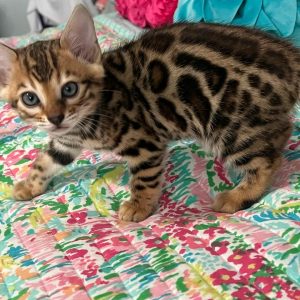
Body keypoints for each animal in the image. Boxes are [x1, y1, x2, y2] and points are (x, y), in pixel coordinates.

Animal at [0, 4, 298, 220]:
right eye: (30, 98)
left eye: (69, 89)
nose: (56, 118)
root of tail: (289, 58)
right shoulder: (65, 140)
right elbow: (45, 160)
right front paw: (29, 184)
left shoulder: (144, 142)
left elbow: (144, 177)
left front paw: (139, 206)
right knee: (282, 130)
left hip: (228, 129)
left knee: (267, 161)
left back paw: (237, 196)